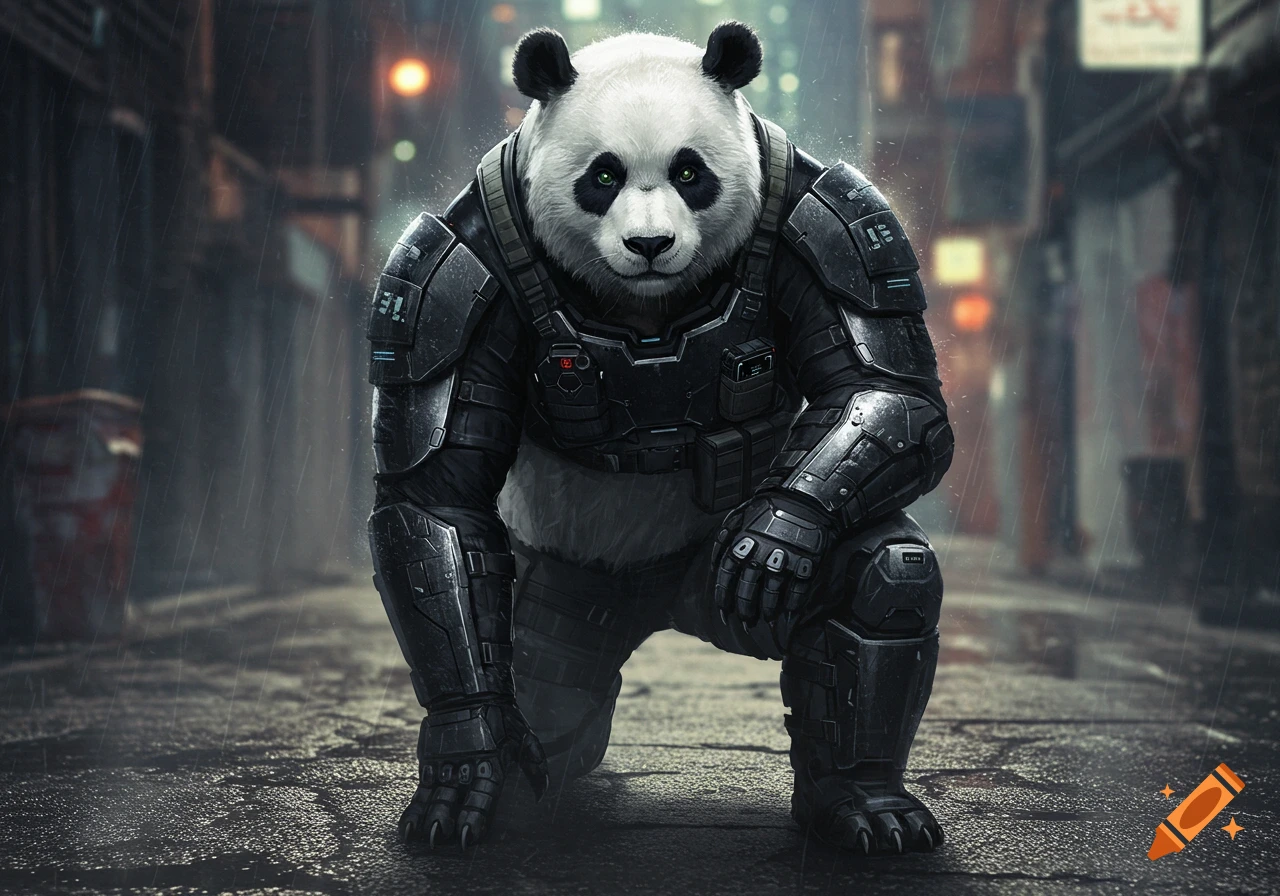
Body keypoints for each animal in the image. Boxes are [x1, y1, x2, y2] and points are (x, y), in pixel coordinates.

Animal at [366, 22, 955, 856]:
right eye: (603, 176)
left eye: (690, 171)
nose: (651, 245)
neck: (645, 302)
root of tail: (648, 595)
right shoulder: (447, 277)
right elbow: (436, 499)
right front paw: (467, 764)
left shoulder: (831, 225)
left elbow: (888, 390)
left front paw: (779, 535)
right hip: (563, 588)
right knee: (544, 683)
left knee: (887, 576)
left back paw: (864, 802)